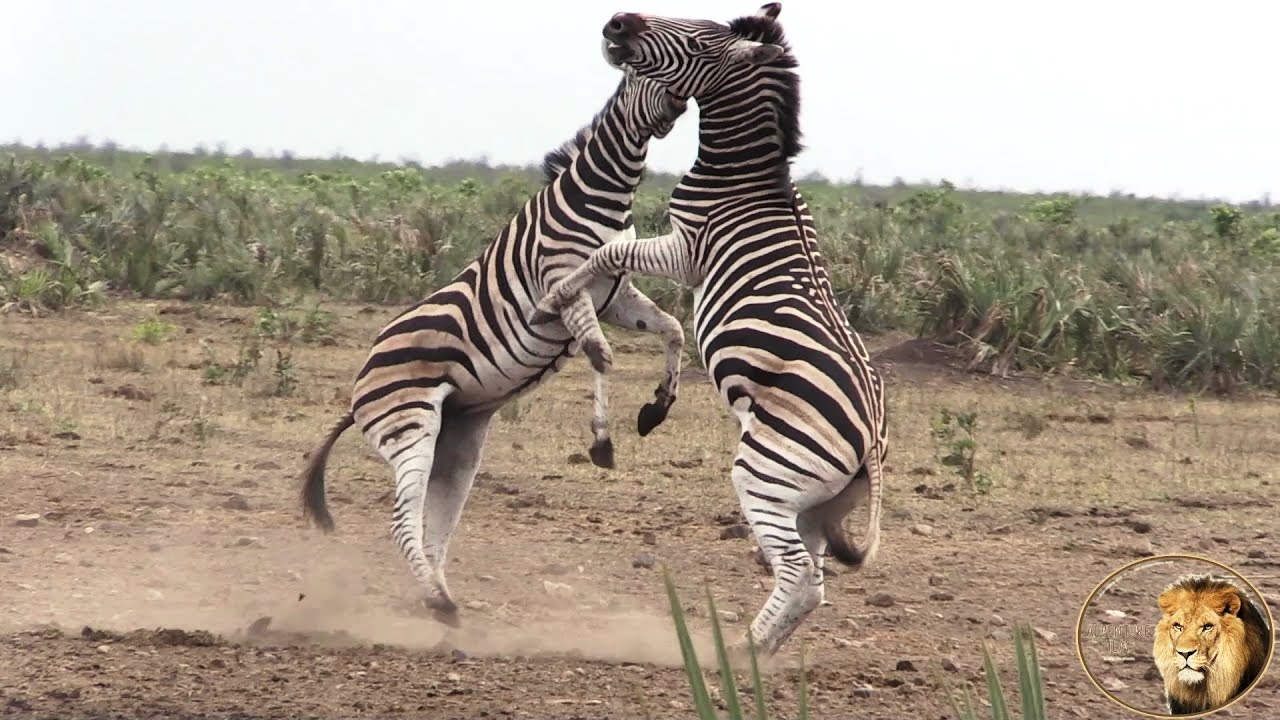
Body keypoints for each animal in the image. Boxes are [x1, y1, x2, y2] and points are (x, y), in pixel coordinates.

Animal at [299, 68, 689, 627]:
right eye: (649, 74)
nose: (680, 103)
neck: (602, 198)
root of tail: (358, 389)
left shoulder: (616, 295)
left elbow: (673, 329)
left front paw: (657, 407)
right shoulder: (561, 291)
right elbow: (601, 355)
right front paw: (601, 443)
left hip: (457, 441)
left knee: (435, 527)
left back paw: (442, 597)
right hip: (410, 425)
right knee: (402, 520)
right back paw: (438, 602)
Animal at [531, 3, 888, 657]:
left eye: (698, 42)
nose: (616, 22)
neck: (743, 178)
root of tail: (873, 443)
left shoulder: (686, 249)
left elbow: (609, 253)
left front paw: (555, 296)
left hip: (767, 475)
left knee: (798, 576)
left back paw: (735, 655)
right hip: (814, 505)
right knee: (812, 584)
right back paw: (753, 654)